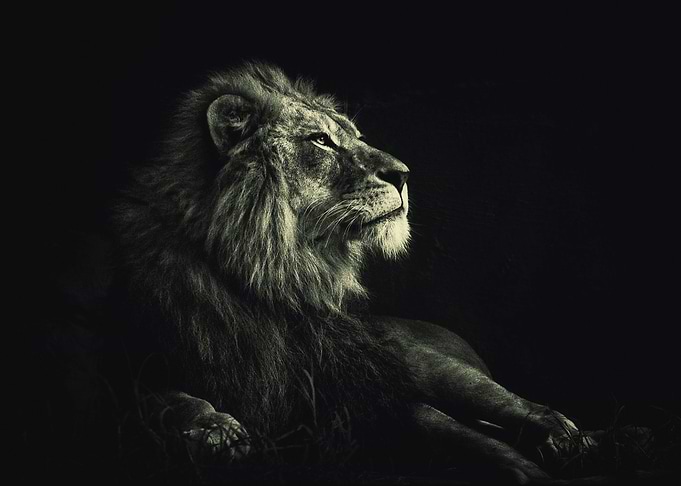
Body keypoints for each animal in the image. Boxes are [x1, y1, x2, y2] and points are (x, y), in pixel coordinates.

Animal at [114, 62, 595, 482]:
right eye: (320, 141)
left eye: (354, 136)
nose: (403, 174)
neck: (266, 281)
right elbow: (159, 398)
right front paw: (214, 427)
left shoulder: (362, 387)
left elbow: (460, 433)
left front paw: (530, 468)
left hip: (432, 365)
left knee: (504, 403)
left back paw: (566, 434)